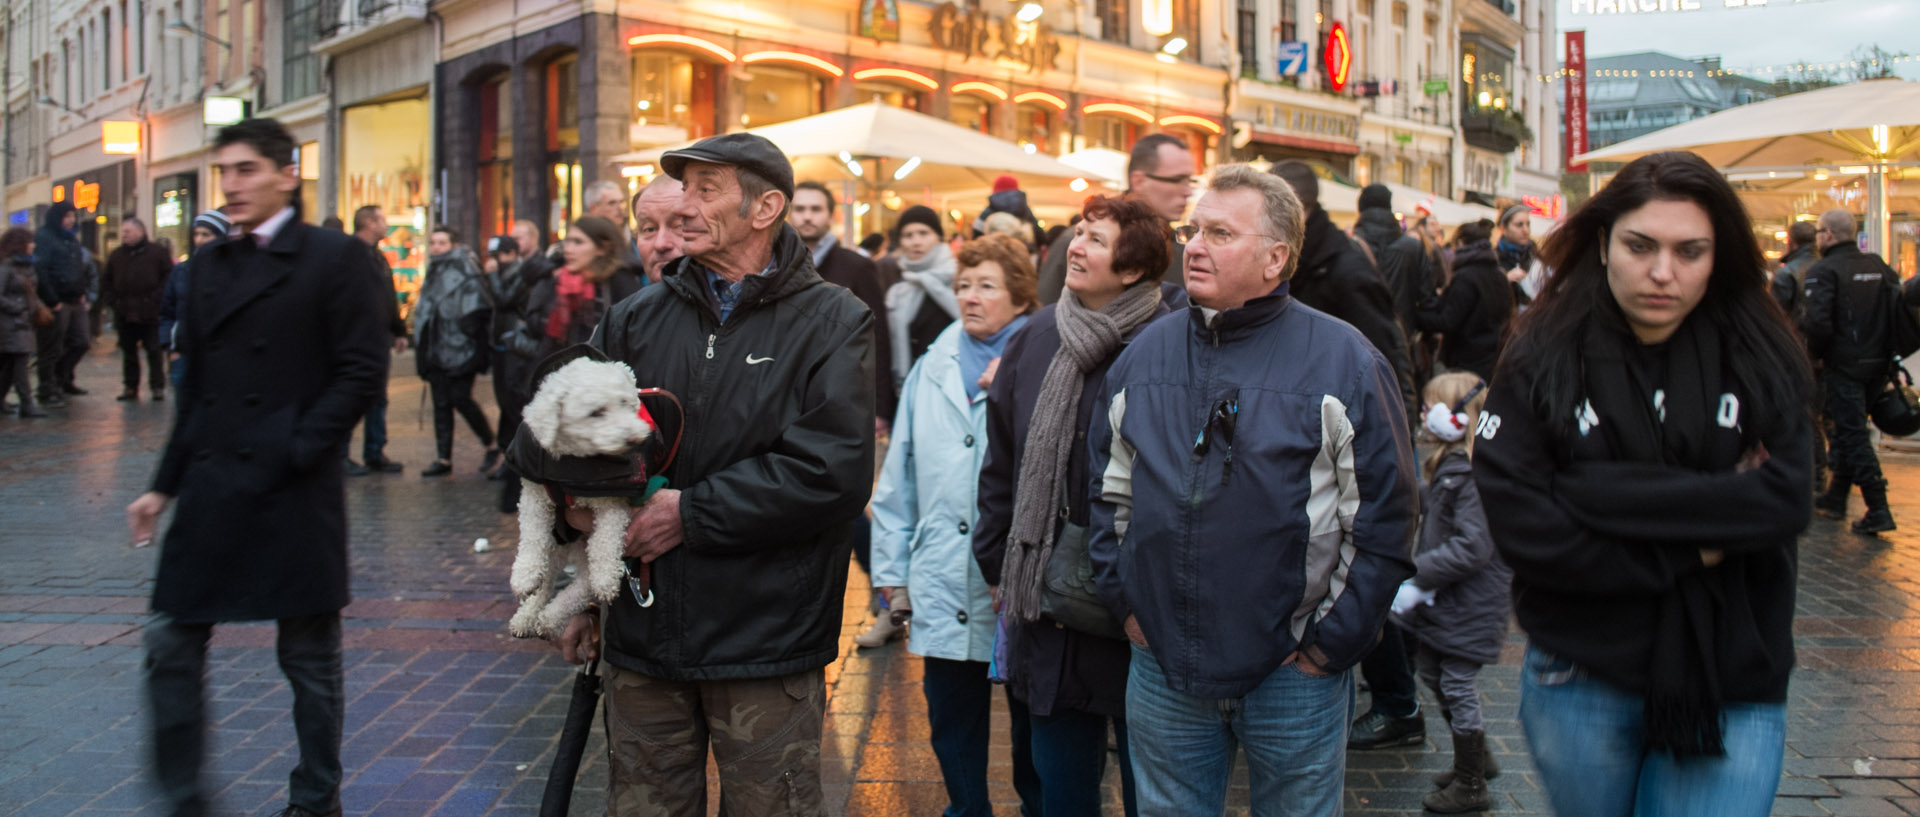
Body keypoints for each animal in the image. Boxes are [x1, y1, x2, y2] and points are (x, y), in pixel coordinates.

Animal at [506, 356, 656, 636]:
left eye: (624, 402)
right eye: (595, 412)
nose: (634, 438)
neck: (574, 464)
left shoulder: (612, 504)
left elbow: (605, 542)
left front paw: (606, 578)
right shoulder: (534, 495)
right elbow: (532, 536)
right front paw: (523, 575)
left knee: (581, 587)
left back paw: (550, 618)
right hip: (556, 547)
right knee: (547, 582)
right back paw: (528, 616)